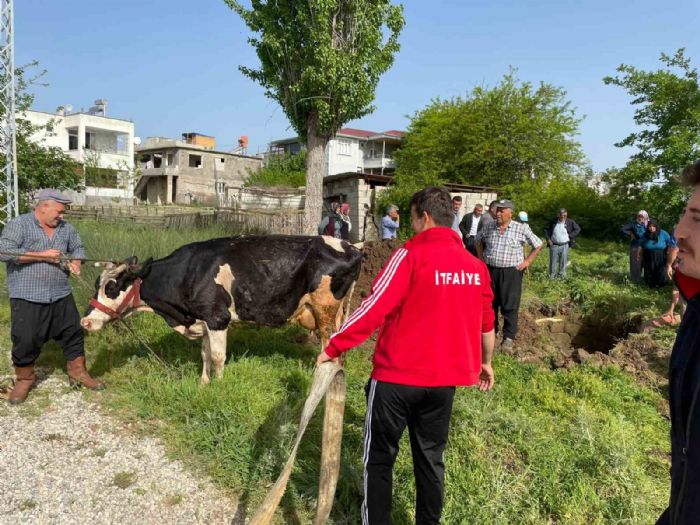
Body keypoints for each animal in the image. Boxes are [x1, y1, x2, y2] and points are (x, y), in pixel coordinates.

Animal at [83, 235, 360, 382]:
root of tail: (352, 246)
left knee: (328, 346)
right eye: (96, 284)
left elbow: (217, 356)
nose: (85, 322)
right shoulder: (204, 319)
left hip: (325, 311)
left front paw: (219, 384)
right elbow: (205, 353)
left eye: (111, 287)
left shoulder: (218, 318)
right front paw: (203, 383)